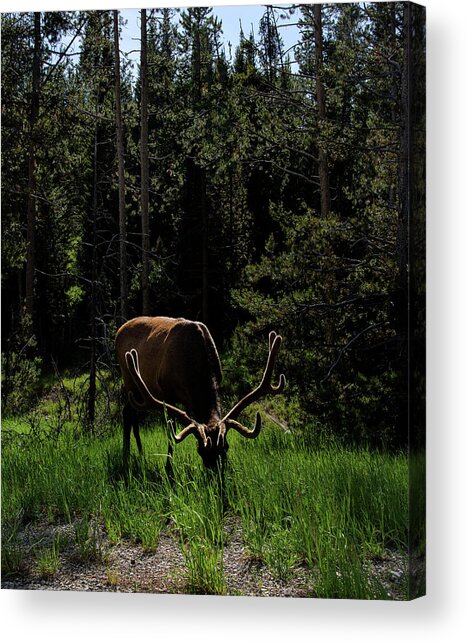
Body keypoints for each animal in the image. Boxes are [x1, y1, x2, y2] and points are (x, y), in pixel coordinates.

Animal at [115, 316, 285, 474]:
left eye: (225, 447)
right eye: (200, 450)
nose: (216, 476)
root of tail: (119, 330)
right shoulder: (167, 393)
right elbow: (171, 432)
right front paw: (169, 469)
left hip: (137, 393)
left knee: (131, 413)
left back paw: (139, 453)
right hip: (129, 380)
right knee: (127, 412)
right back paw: (126, 456)